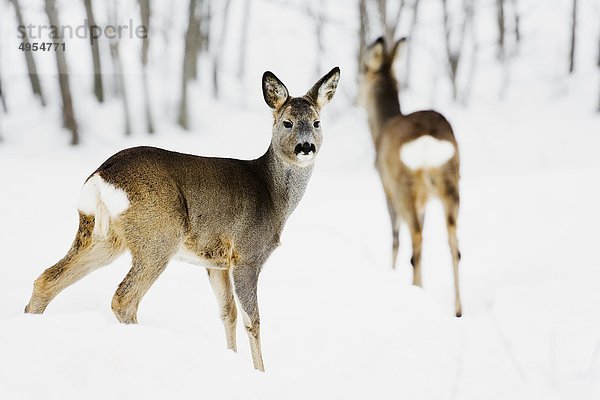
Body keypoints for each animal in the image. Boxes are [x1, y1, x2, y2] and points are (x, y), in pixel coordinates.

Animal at [25, 65, 340, 368]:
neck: (273, 195)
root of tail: (101, 176)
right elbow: (254, 320)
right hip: (158, 235)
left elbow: (227, 312)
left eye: (317, 123)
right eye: (287, 123)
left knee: (47, 279)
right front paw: (260, 372)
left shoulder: (216, 261)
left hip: (103, 235)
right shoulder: (247, 253)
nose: (306, 147)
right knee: (123, 298)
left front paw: (231, 359)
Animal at [358, 38, 462, 318]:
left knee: (416, 239)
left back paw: (418, 290)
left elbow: (394, 237)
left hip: (404, 187)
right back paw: (457, 309)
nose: (357, 98)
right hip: (450, 183)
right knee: (453, 245)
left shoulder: (386, 186)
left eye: (362, 71)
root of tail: (427, 142)